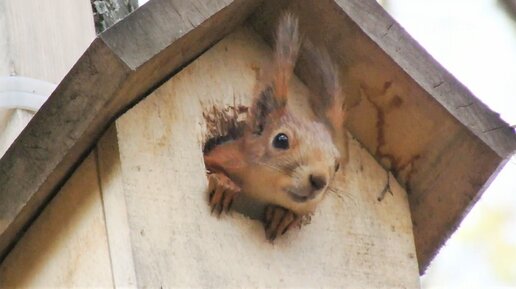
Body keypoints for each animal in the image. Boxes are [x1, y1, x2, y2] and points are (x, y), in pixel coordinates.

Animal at [204, 12, 348, 240]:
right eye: (281, 140)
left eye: (337, 165)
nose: (319, 180)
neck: (260, 192)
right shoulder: (225, 155)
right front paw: (223, 185)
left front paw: (283, 216)